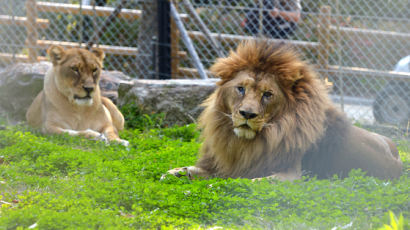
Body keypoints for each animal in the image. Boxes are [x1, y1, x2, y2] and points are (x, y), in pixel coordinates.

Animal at [165, 40, 402, 181]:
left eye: (267, 94)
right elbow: (193, 170)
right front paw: (175, 171)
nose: (247, 114)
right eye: (241, 89)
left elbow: (259, 181)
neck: (243, 144)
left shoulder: (294, 175)